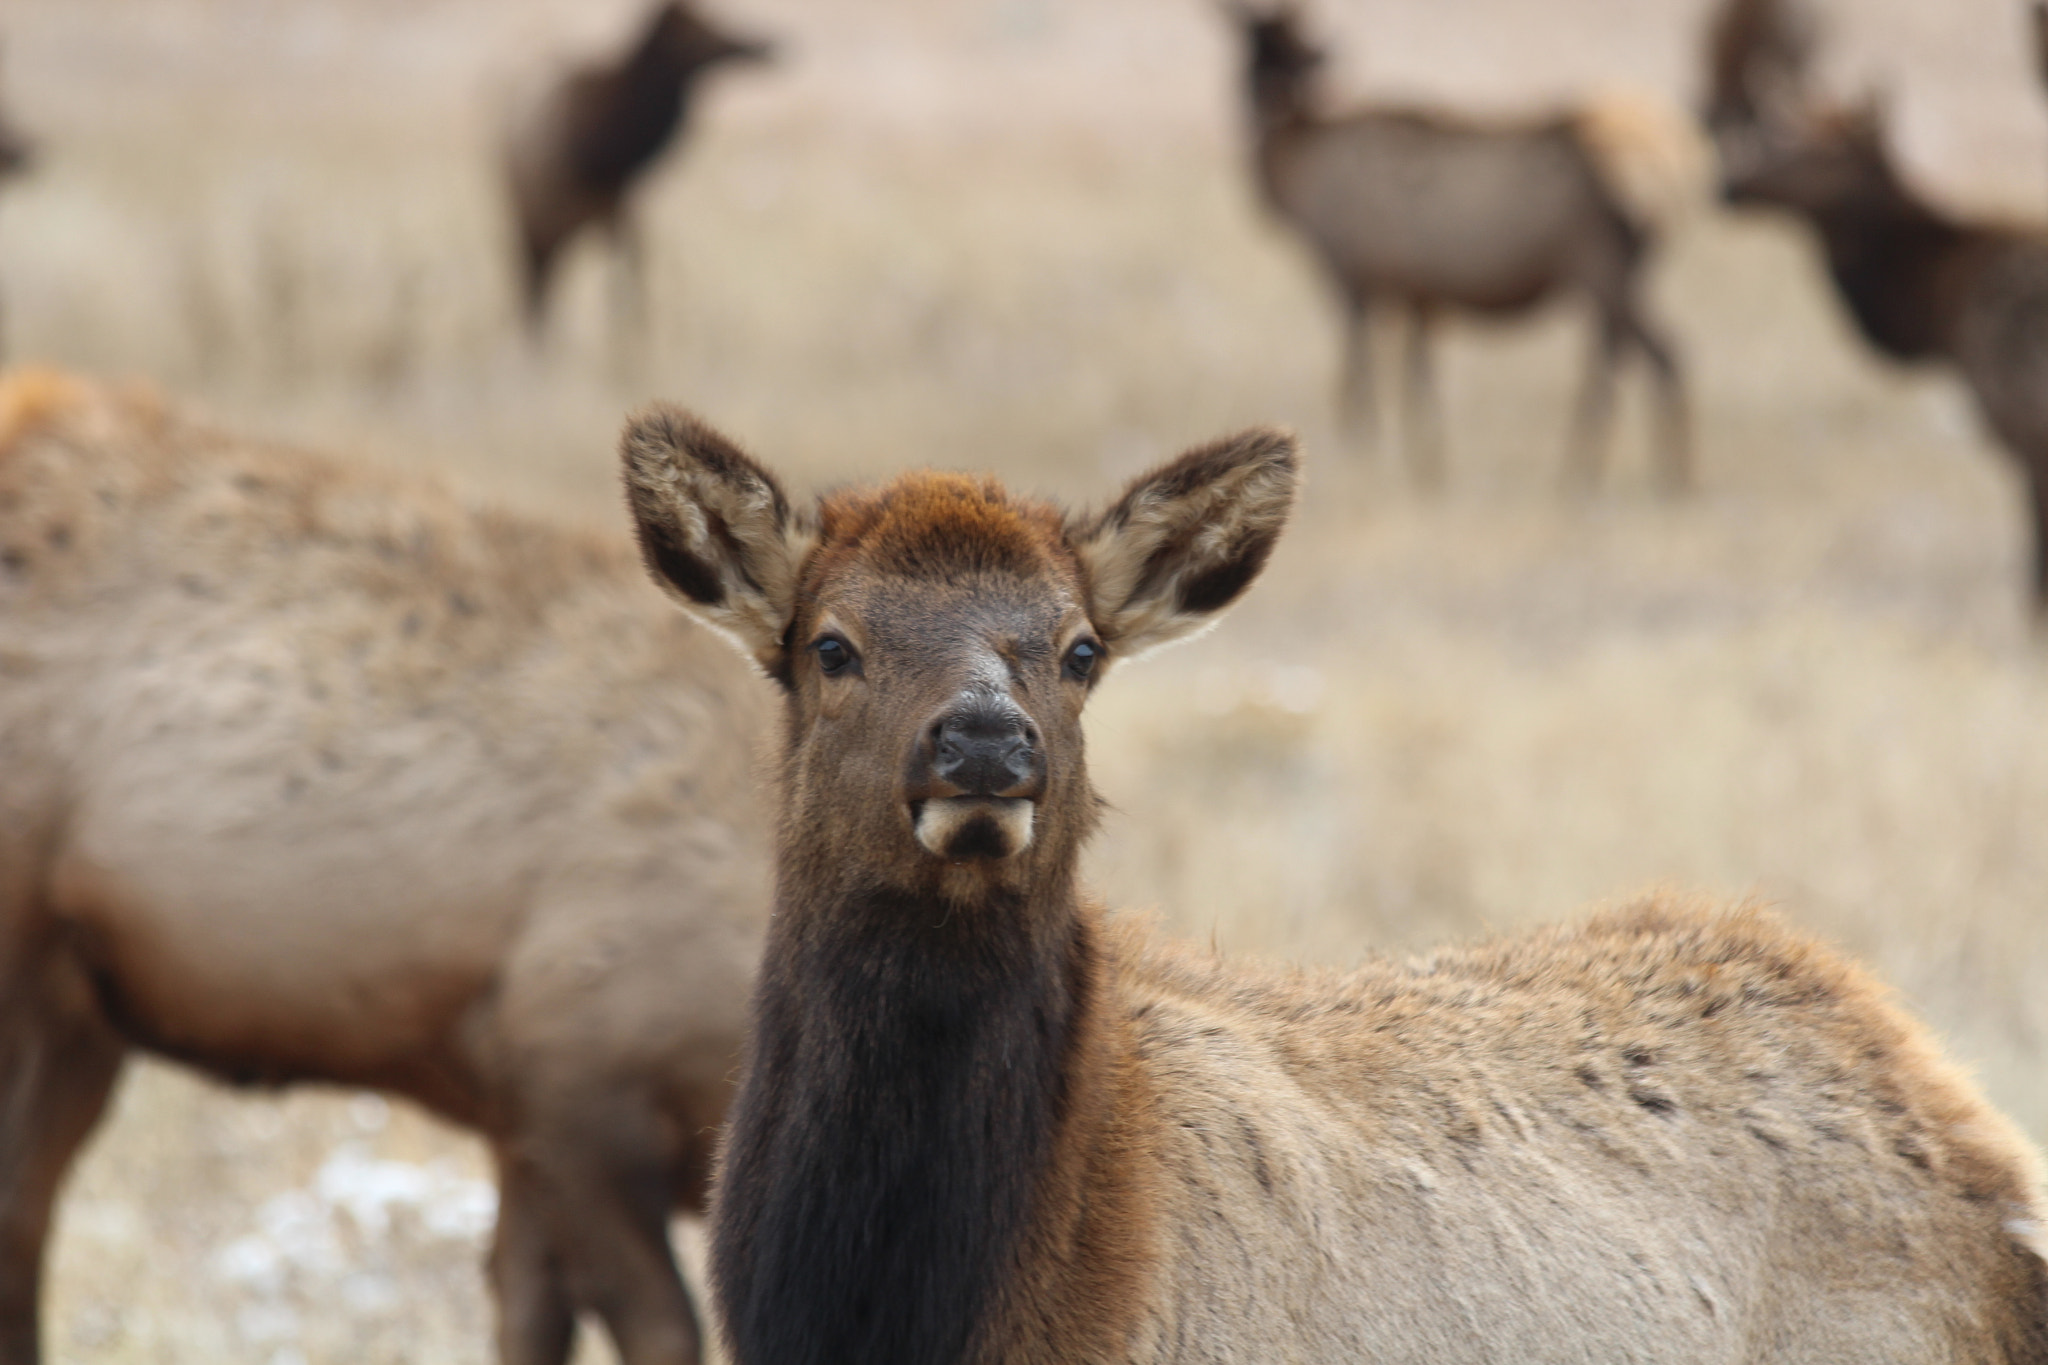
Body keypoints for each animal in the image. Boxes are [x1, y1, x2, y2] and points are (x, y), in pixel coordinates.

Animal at [0, 369, 775, 1365]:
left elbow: (526, 1311)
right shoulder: (572, 1071)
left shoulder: (521, 1116)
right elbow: (660, 1331)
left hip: (78, 1013)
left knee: (25, 1215)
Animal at [503, 1, 772, 337]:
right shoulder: (602, 207)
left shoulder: (621, 206)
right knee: (535, 289)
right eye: (703, 28)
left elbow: (629, 275)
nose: (768, 44)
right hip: (532, 226)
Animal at [1230, 4, 1703, 493]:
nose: (1263, 103)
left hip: (1604, 268)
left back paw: (1625, 480)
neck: (1301, 176)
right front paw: (1429, 470)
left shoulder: (1351, 274)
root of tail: (1673, 177)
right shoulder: (1418, 293)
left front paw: (1364, 456)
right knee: (1625, 360)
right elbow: (1418, 381)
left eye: (1292, 54)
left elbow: (1360, 379)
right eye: (1249, 49)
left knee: (1659, 357)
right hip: (1612, 278)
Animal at [1709, 0, 2048, 615]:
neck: (1938, 312)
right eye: (1782, 133)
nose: (1728, 185)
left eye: (1827, 152)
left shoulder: (2024, 424)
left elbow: (2034, 590)